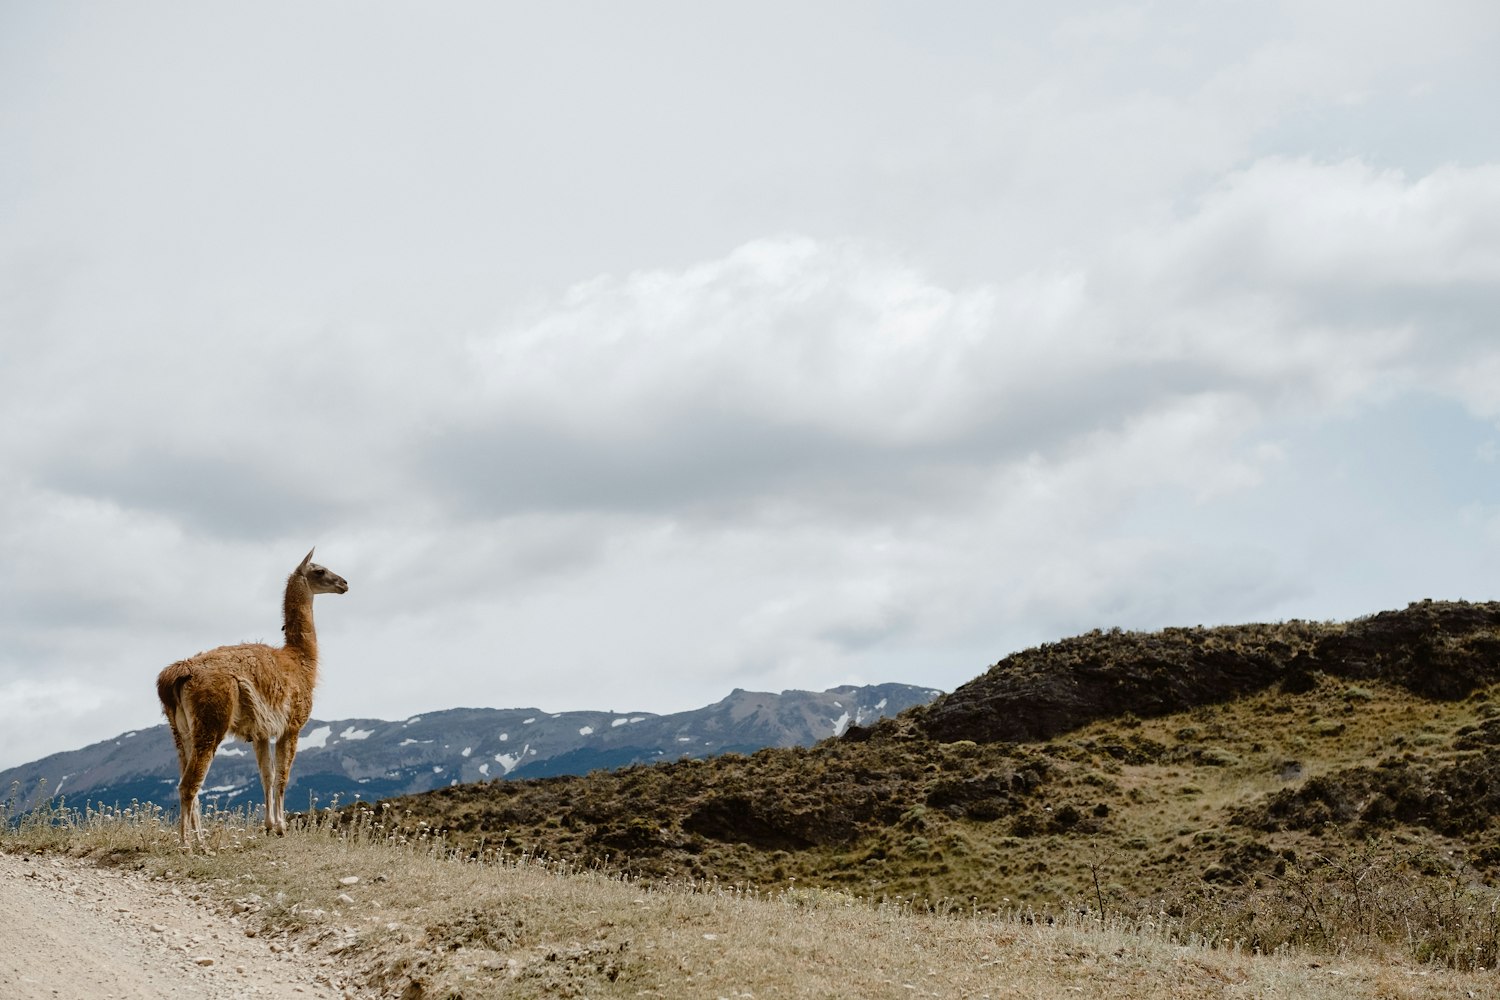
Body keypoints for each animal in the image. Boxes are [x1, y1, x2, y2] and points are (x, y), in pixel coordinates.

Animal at [156, 548, 348, 848]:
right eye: (320, 571)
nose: (344, 583)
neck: (299, 661)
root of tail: (180, 670)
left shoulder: (260, 732)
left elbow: (266, 775)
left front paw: (269, 825)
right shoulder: (291, 727)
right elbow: (282, 777)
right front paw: (281, 826)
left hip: (180, 729)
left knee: (189, 780)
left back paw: (199, 838)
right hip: (212, 721)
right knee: (189, 784)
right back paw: (190, 844)